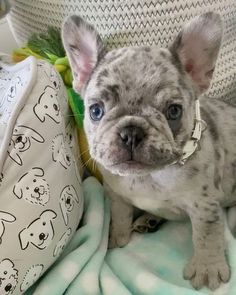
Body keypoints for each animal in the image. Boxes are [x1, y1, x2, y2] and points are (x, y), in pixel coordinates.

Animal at [62, 12, 236, 290]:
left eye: (174, 111)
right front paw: (116, 236)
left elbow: (206, 235)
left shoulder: (204, 206)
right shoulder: (117, 195)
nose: (131, 132)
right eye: (96, 110)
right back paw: (148, 219)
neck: (147, 177)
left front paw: (207, 267)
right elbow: (120, 216)